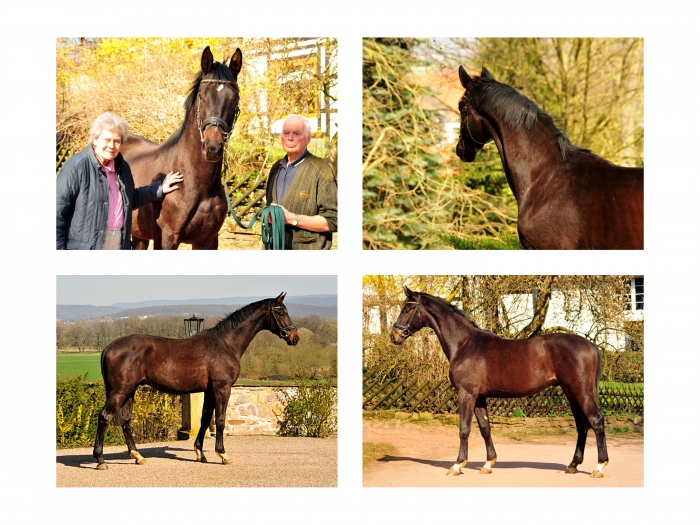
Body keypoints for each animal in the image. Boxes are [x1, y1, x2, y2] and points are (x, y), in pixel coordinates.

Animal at [91, 292, 296, 468]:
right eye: (280, 312)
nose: (295, 337)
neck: (225, 344)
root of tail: (109, 347)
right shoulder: (222, 388)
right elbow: (220, 420)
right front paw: (223, 455)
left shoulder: (209, 390)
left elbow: (205, 419)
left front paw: (200, 453)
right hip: (120, 391)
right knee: (105, 416)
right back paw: (101, 460)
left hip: (129, 391)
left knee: (126, 421)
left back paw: (137, 456)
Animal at [119, 46, 242, 249]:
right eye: (201, 96)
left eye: (234, 99)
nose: (212, 147)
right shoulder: (167, 238)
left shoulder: (208, 241)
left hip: (139, 236)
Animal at [388, 288, 608, 476]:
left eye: (407, 308)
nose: (394, 336)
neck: (464, 344)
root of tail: (592, 346)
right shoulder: (479, 397)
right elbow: (485, 428)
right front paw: (488, 463)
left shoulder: (466, 394)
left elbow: (464, 429)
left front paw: (457, 465)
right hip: (570, 392)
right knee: (581, 425)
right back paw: (573, 465)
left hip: (581, 392)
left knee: (596, 421)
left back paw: (599, 467)